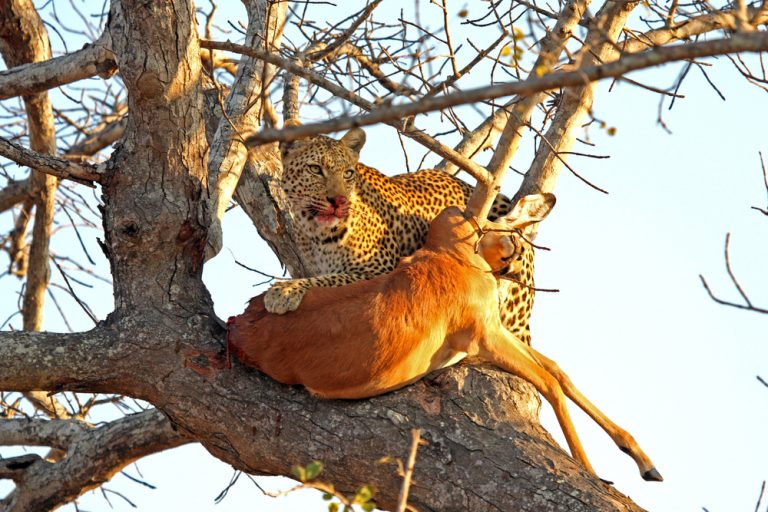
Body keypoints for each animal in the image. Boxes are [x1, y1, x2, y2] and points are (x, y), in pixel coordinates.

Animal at [264, 127, 554, 346]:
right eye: (315, 169)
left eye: (348, 173)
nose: (339, 201)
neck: (314, 231)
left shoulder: (379, 270)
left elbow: (329, 280)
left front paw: (283, 290)